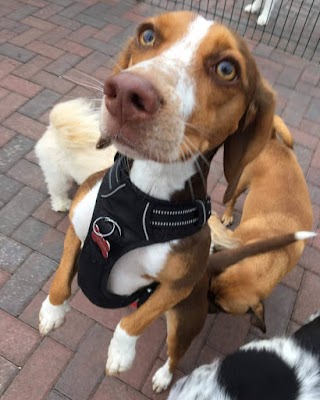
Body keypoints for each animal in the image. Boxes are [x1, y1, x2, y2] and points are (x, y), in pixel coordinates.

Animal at [208, 117, 312, 332]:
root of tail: (273, 140)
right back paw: (228, 215)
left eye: (222, 308)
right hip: (240, 184)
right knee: (232, 199)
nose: (207, 303)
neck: (271, 256)